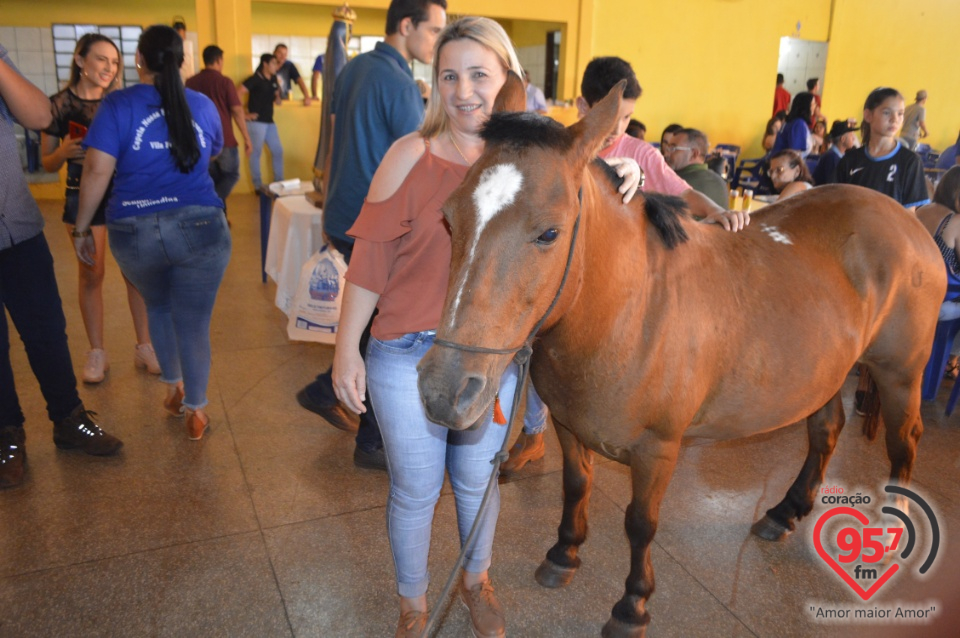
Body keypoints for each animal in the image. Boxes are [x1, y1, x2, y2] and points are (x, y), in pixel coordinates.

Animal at [416, 79, 940, 638]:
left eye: (549, 233)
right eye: (449, 218)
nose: (443, 390)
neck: (630, 310)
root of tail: (908, 220)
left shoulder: (658, 450)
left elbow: (640, 523)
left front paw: (632, 604)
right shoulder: (568, 426)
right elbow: (576, 487)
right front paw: (564, 553)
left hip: (900, 374)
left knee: (904, 441)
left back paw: (892, 528)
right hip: (824, 372)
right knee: (826, 431)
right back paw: (785, 510)